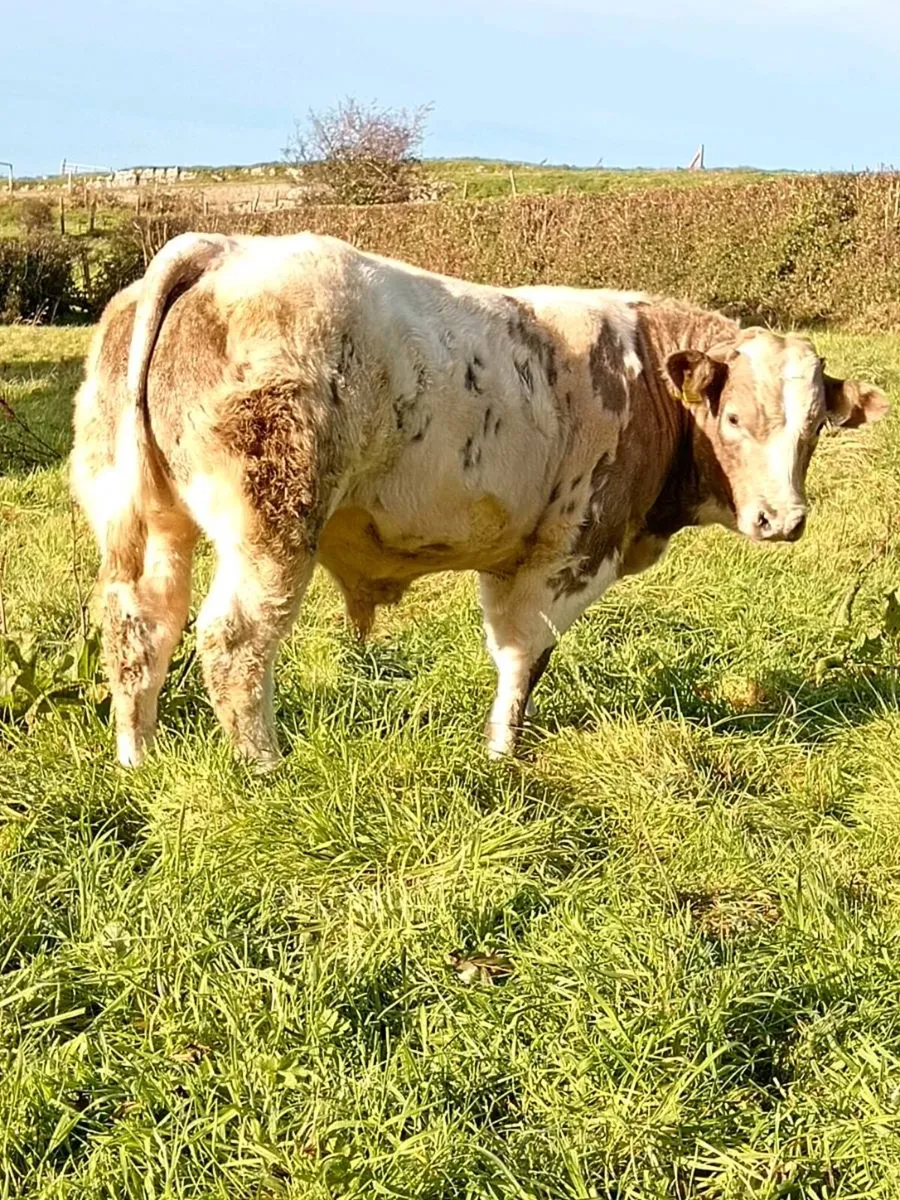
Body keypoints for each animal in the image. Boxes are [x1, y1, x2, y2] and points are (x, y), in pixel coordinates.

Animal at [70, 232, 887, 769]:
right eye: (734, 418)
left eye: (815, 425)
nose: (783, 520)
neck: (646, 377)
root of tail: (221, 250)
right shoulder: (569, 551)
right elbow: (524, 654)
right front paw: (503, 753)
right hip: (272, 522)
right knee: (234, 639)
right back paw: (263, 767)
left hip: (144, 517)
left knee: (140, 625)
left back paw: (138, 758)